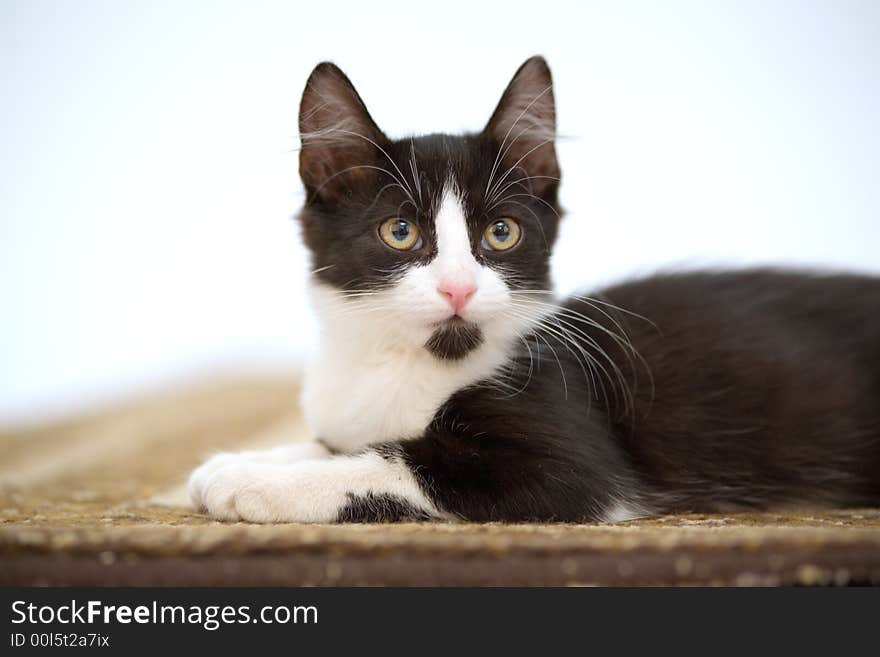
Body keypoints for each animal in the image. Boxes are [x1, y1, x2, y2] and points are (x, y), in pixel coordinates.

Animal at [187, 59, 880, 524]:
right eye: (400, 231)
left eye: (501, 232)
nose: (459, 287)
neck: (407, 365)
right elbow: (337, 440)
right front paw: (244, 460)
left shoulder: (573, 456)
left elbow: (397, 460)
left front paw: (252, 481)